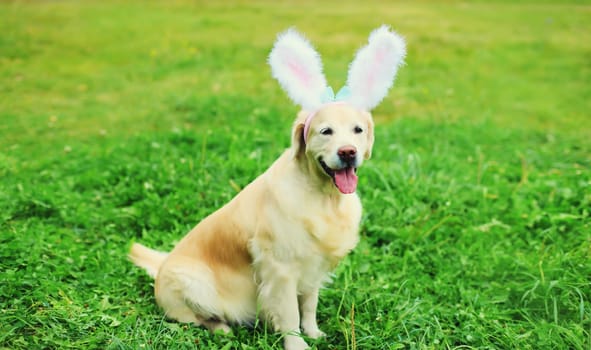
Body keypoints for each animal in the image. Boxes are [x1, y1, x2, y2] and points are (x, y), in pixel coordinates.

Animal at [130, 26, 408, 348]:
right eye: (326, 131)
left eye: (357, 130)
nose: (348, 152)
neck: (323, 196)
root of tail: (162, 266)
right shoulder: (280, 269)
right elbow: (289, 315)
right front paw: (297, 344)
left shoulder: (313, 265)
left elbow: (309, 305)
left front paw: (314, 332)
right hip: (193, 282)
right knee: (193, 318)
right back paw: (221, 327)